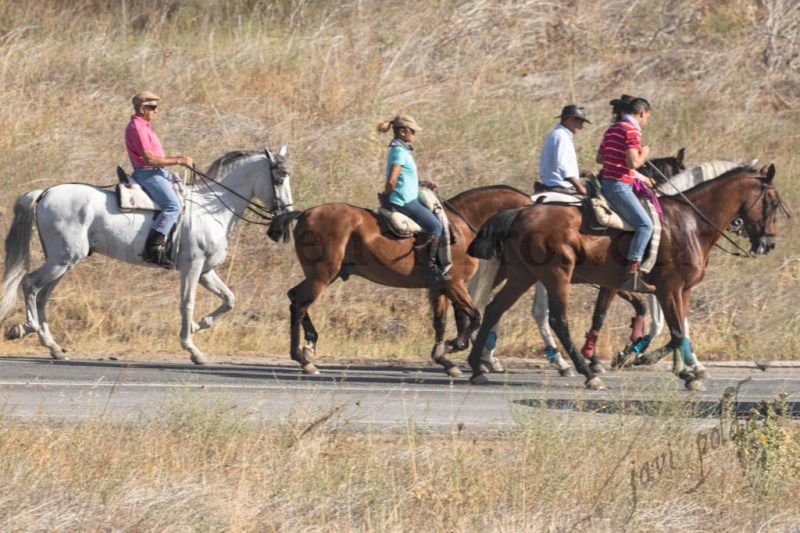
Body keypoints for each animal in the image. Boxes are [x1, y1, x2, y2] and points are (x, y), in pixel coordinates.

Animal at [0, 147, 293, 364]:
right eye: (279, 178)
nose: (286, 218)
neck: (211, 209)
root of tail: (45, 192)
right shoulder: (192, 267)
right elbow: (187, 304)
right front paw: (193, 349)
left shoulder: (206, 271)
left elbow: (229, 299)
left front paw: (198, 326)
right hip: (62, 260)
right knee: (29, 284)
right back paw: (27, 328)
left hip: (64, 261)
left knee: (42, 296)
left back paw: (51, 345)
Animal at [266, 185, 534, 377]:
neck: (462, 225)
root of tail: (305, 214)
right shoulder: (455, 284)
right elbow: (473, 317)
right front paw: (452, 347)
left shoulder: (441, 287)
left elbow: (443, 322)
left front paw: (445, 358)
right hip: (322, 275)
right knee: (300, 303)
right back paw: (303, 357)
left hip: (321, 276)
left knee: (295, 298)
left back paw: (308, 349)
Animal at [466, 164, 783, 391]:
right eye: (772, 201)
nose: (768, 243)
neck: (690, 224)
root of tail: (520, 211)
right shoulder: (667, 289)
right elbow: (675, 331)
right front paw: (646, 358)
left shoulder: (679, 291)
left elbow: (677, 328)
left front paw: (684, 369)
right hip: (556, 275)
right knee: (556, 320)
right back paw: (583, 372)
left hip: (523, 275)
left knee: (494, 309)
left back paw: (477, 366)